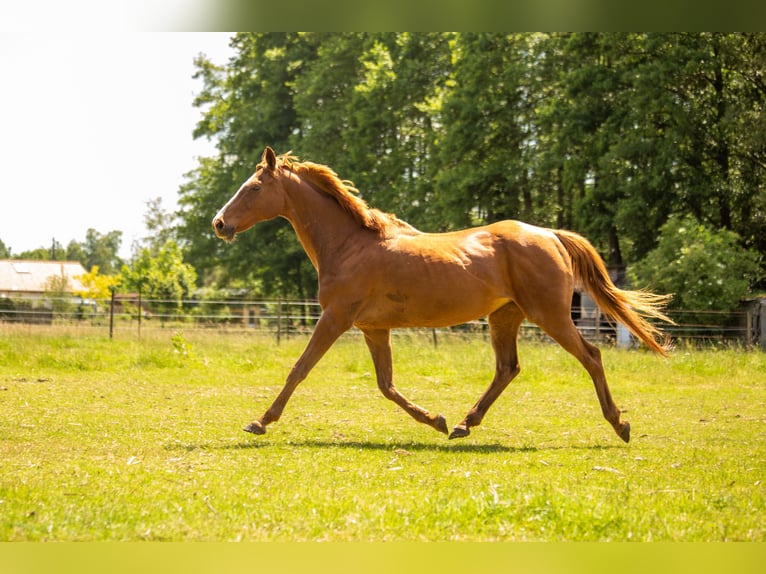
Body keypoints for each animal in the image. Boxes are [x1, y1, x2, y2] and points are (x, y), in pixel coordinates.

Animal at [212, 146, 672, 444]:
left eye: (254, 188)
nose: (219, 223)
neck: (349, 244)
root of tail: (550, 234)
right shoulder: (373, 329)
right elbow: (386, 385)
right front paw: (435, 419)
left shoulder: (336, 318)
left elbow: (299, 369)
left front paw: (260, 422)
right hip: (505, 317)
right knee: (507, 369)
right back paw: (464, 425)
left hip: (551, 315)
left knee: (590, 357)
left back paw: (620, 425)